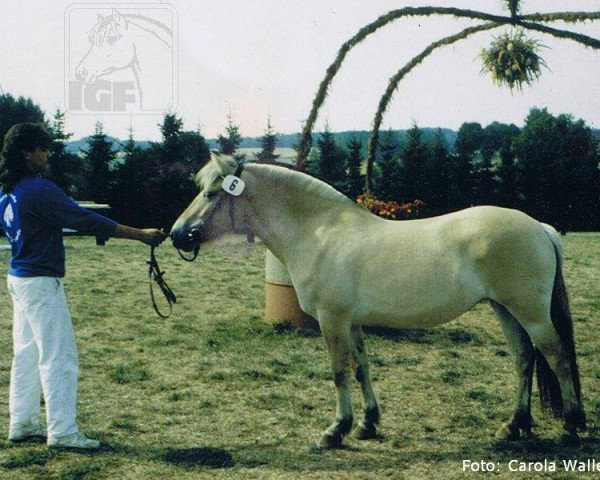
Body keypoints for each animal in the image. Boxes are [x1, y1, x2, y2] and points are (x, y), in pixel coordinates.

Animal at [170, 153, 584, 450]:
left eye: (211, 193)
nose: (176, 234)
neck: (320, 233)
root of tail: (539, 228)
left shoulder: (332, 319)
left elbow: (338, 371)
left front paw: (335, 431)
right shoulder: (351, 321)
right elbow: (361, 367)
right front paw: (367, 424)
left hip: (530, 313)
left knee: (557, 357)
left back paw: (570, 427)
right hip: (505, 310)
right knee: (524, 360)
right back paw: (514, 426)